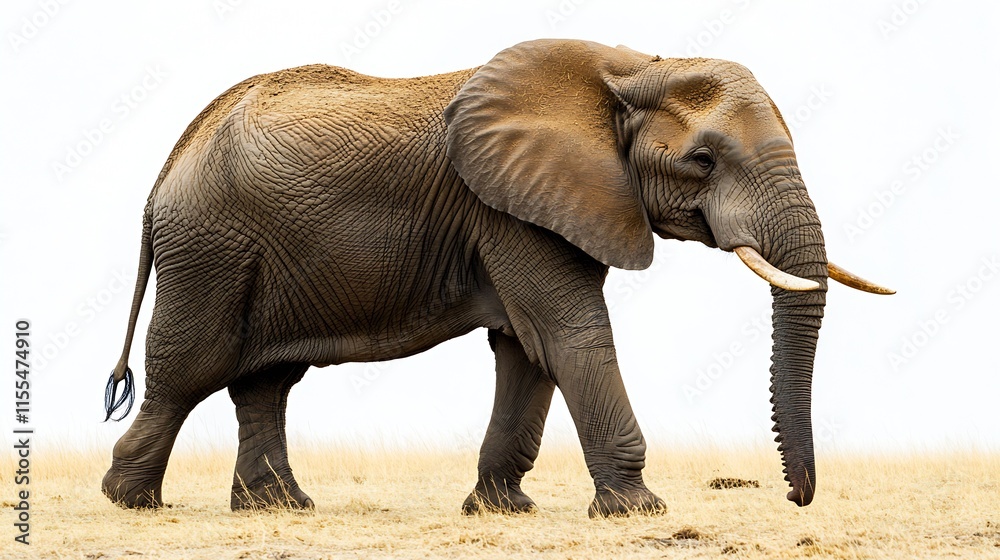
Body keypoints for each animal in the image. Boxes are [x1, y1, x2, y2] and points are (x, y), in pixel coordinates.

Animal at [101, 39, 892, 517]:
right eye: (702, 160)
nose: (796, 499)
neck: (629, 66)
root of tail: (165, 169)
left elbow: (527, 349)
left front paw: (502, 508)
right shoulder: (508, 210)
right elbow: (570, 334)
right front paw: (639, 510)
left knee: (265, 380)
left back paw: (282, 507)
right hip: (211, 249)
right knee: (189, 369)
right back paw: (128, 499)